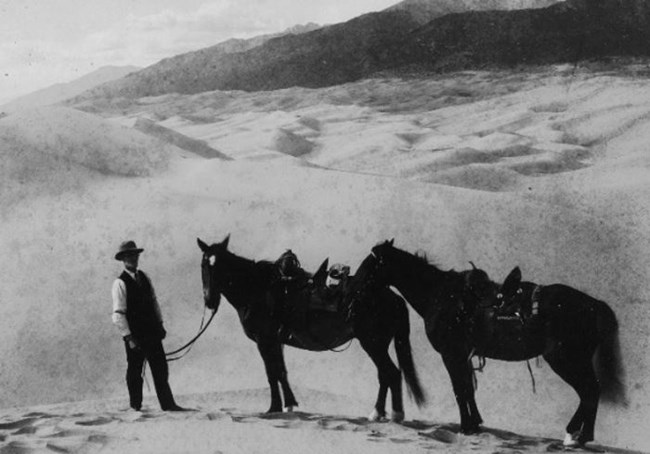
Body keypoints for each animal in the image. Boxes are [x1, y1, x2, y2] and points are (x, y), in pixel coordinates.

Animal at [196, 236, 426, 420]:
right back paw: (377, 413)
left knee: (391, 373)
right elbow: (281, 372)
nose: (209, 301)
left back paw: (394, 414)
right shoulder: (277, 341)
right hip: (378, 345)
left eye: (220, 266)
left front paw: (273, 408)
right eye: (203, 266)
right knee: (384, 375)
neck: (257, 290)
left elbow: (271, 373)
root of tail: (393, 297)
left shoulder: (264, 340)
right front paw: (289, 405)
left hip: (373, 344)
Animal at [346, 241, 624, 446]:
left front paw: (465, 427)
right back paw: (582, 436)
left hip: (565, 360)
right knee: (591, 391)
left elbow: (460, 390)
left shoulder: (451, 355)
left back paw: (573, 435)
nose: (351, 291)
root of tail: (594, 304)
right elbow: (468, 390)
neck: (440, 296)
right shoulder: (463, 356)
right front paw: (475, 424)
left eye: (369, 266)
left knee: (588, 391)